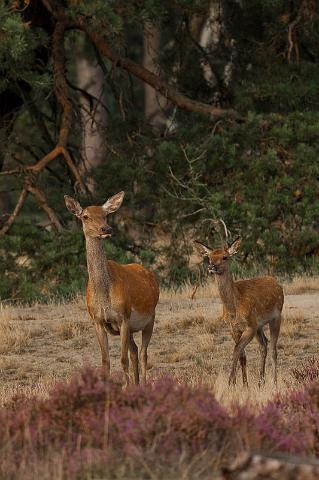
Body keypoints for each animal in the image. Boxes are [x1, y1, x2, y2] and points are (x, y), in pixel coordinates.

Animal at [64, 191, 159, 386]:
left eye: (105, 214)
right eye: (85, 216)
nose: (106, 229)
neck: (104, 295)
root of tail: (151, 275)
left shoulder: (123, 317)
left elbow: (122, 360)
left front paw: (127, 387)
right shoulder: (97, 320)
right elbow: (105, 361)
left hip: (150, 318)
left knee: (143, 353)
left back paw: (143, 384)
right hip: (132, 328)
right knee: (135, 350)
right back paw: (137, 384)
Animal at [196, 238, 284, 388]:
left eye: (225, 257)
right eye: (209, 257)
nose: (211, 266)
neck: (234, 308)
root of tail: (278, 284)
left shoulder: (250, 326)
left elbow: (236, 349)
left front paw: (231, 382)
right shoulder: (233, 328)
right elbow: (242, 355)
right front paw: (244, 385)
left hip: (276, 317)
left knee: (273, 348)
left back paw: (274, 383)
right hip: (259, 325)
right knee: (264, 345)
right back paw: (261, 381)